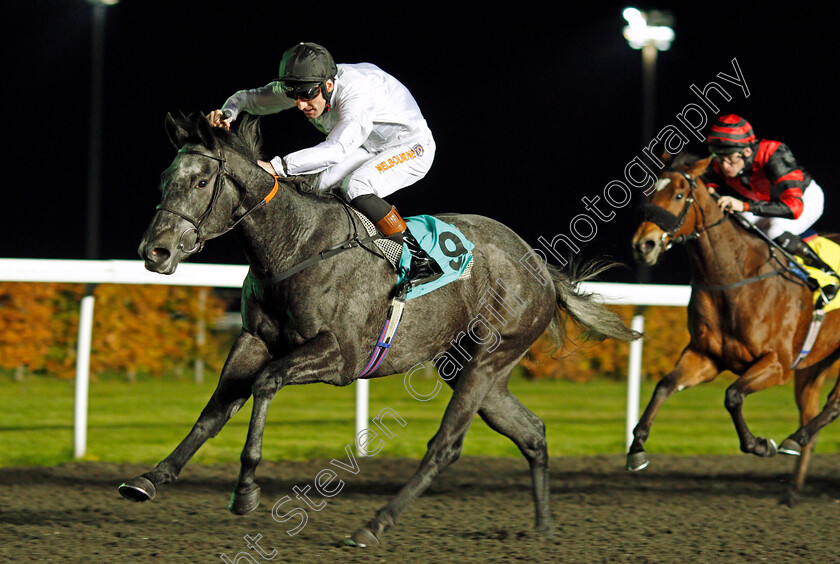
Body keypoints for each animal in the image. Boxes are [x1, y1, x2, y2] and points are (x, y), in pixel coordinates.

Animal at [120, 111, 644, 548]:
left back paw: (373, 525)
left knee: (445, 447)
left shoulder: (340, 355)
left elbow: (266, 383)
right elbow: (215, 410)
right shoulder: (254, 339)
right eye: (165, 179)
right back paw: (544, 527)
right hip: (469, 368)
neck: (296, 245)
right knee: (531, 432)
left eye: (201, 180)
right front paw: (151, 477)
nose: (155, 252)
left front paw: (246, 488)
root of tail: (541, 269)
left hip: (489, 358)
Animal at [632, 152, 840, 504]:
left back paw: (794, 439)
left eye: (678, 195)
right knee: (812, 410)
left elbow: (732, 395)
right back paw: (792, 487)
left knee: (833, 404)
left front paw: (759, 444)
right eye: (648, 194)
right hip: (814, 366)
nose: (643, 245)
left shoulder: (777, 364)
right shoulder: (705, 357)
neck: (733, 277)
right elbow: (664, 385)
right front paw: (636, 449)